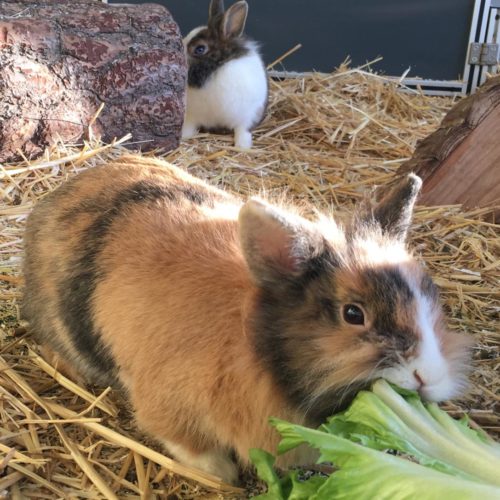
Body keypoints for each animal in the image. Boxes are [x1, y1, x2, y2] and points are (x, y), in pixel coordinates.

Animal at [22, 155, 472, 485]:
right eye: (353, 314)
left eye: (430, 296)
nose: (429, 377)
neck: (254, 347)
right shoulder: (166, 404)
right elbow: (181, 439)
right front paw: (222, 474)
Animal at [181, 0, 268, 149]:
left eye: (200, 48)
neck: (214, 68)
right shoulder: (192, 115)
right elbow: (189, 127)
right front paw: (183, 137)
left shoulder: (248, 116)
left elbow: (243, 130)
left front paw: (242, 147)